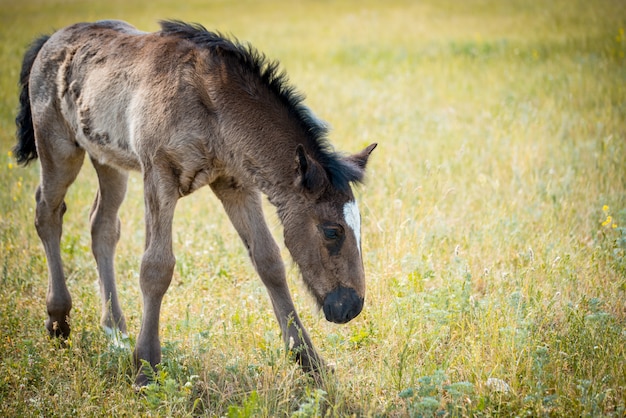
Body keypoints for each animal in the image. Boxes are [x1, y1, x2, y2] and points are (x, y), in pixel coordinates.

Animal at [14, 20, 376, 386]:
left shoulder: (234, 182)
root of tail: (51, 39)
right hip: (58, 147)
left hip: (107, 159)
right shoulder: (158, 174)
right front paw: (146, 368)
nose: (351, 306)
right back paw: (58, 321)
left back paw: (115, 331)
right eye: (332, 231)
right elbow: (156, 268)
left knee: (101, 225)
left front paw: (310, 361)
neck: (209, 105)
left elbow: (269, 261)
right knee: (47, 212)